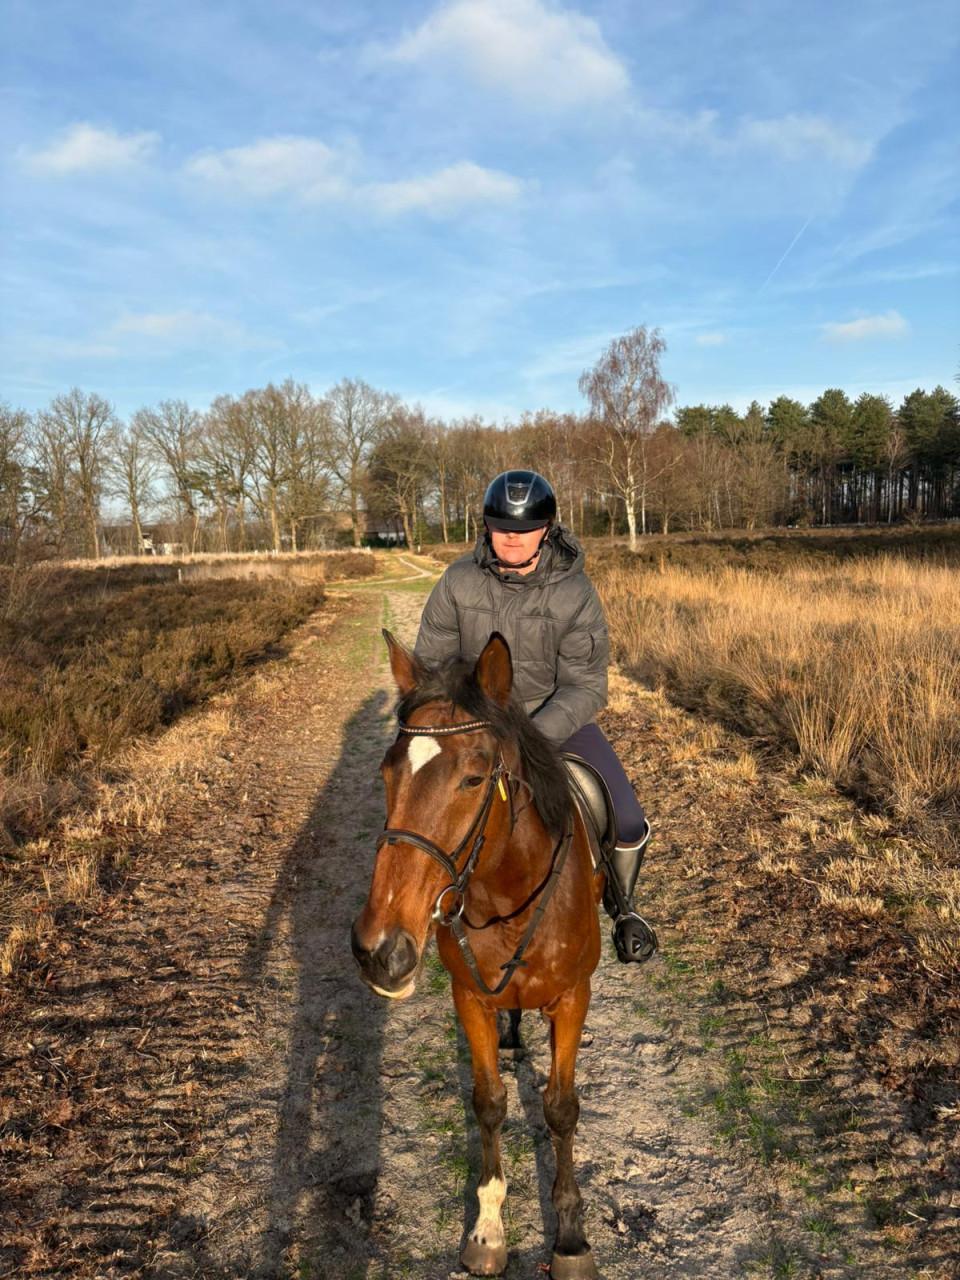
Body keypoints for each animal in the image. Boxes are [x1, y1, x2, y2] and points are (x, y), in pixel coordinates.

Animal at [351, 630, 602, 1279]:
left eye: (471, 778)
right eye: (386, 771)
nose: (378, 950)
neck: (505, 896)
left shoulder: (573, 998)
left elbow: (561, 1109)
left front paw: (571, 1237)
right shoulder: (469, 998)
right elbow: (488, 1103)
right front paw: (488, 1229)